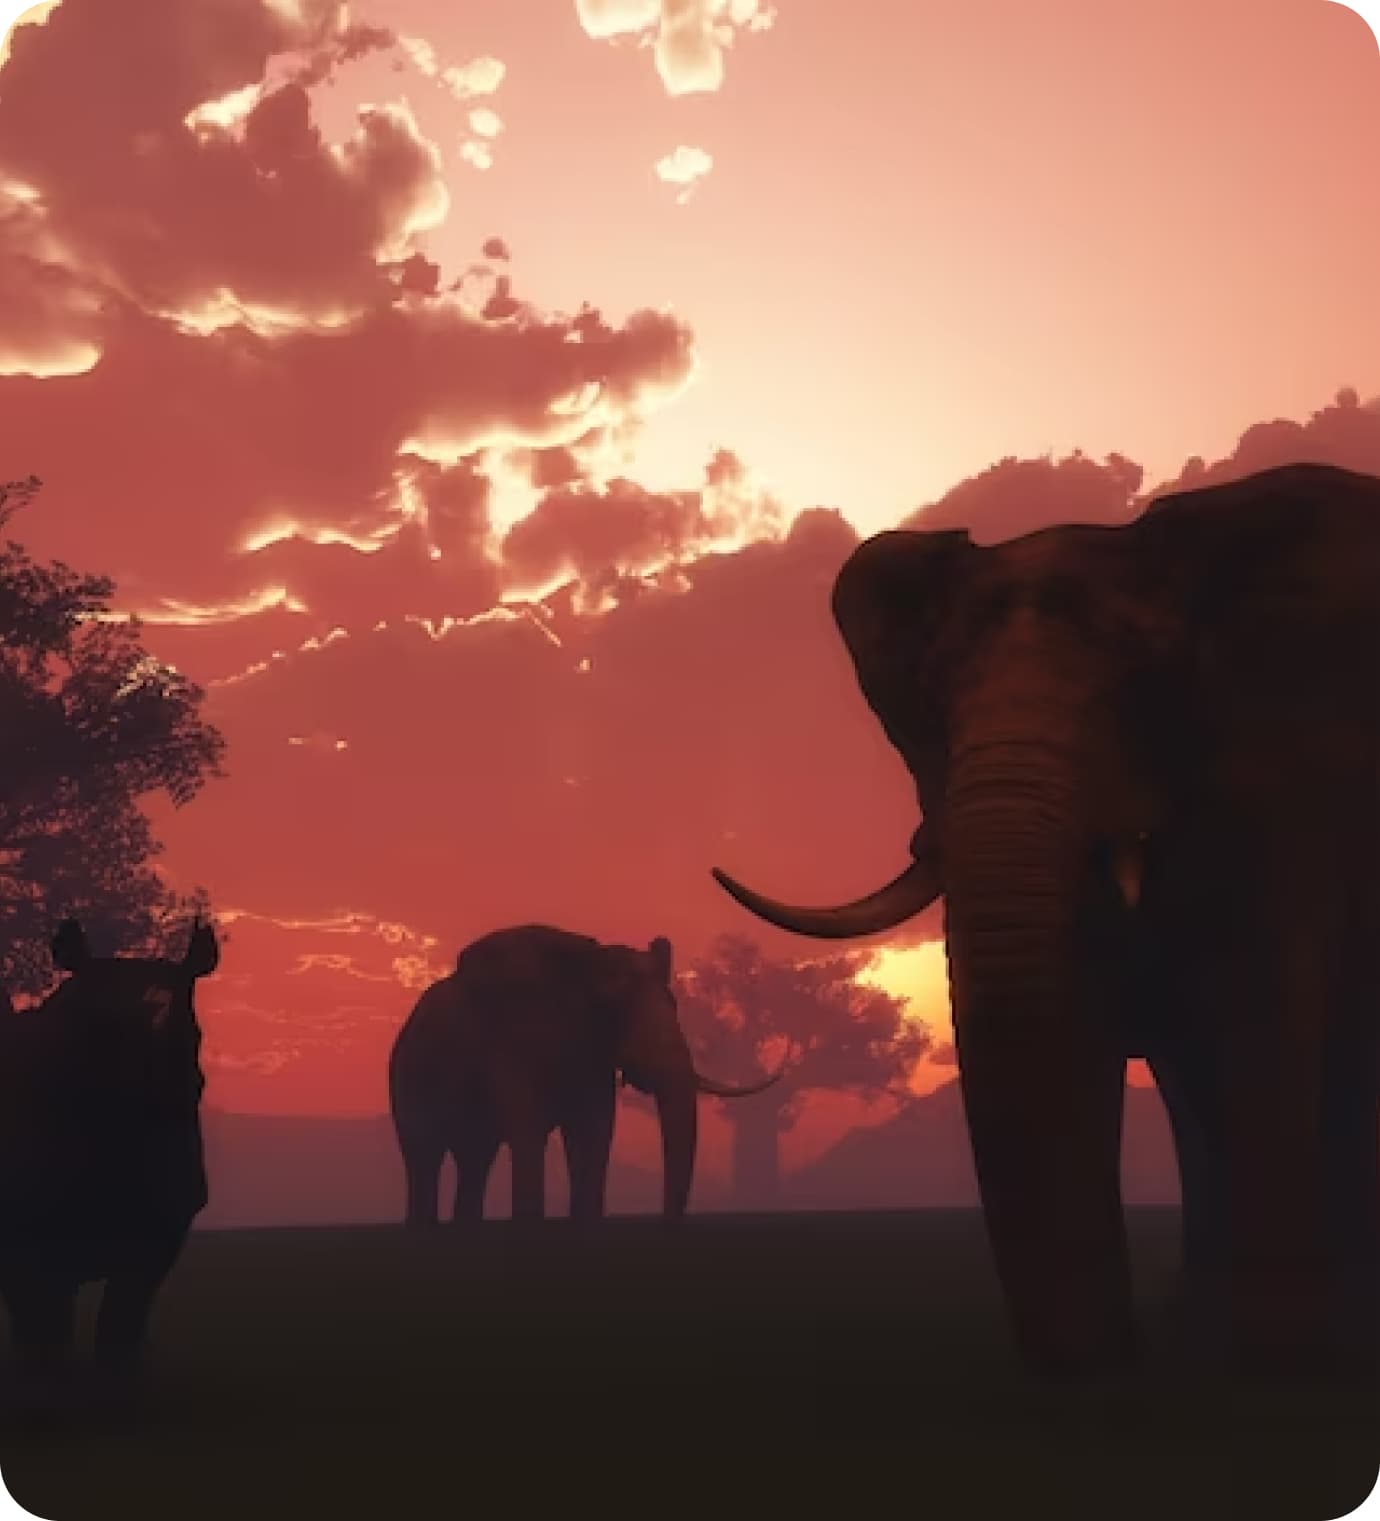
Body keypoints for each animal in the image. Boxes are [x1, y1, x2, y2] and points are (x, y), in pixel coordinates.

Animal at [0, 918, 219, 1387]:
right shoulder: (25, 1239)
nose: (148, 1090)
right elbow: (42, 1339)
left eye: (193, 1035)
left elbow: (119, 1334)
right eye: (89, 1031)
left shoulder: (162, 1229)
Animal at [388, 924, 785, 1225]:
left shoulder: (592, 1059)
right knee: (424, 1157)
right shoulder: (512, 1043)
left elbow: (595, 1131)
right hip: (407, 1078)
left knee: (475, 1160)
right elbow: (529, 1133)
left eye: (674, 1005)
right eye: (612, 1009)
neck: (587, 962)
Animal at [711, 461, 1379, 1377]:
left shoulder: (1281, 783)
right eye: (931, 703)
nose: (1125, 1358)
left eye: (1146, 687)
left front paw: (1270, 1359)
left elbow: (1248, 1016)